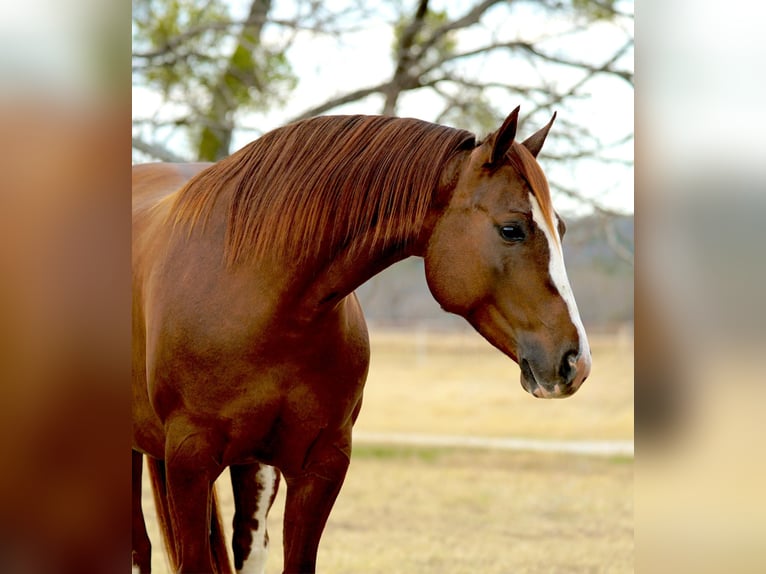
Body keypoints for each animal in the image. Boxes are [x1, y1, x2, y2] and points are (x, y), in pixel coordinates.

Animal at [131, 108, 591, 574]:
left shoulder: (321, 465)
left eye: (561, 227)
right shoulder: (189, 462)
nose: (576, 362)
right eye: (512, 229)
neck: (257, 289)